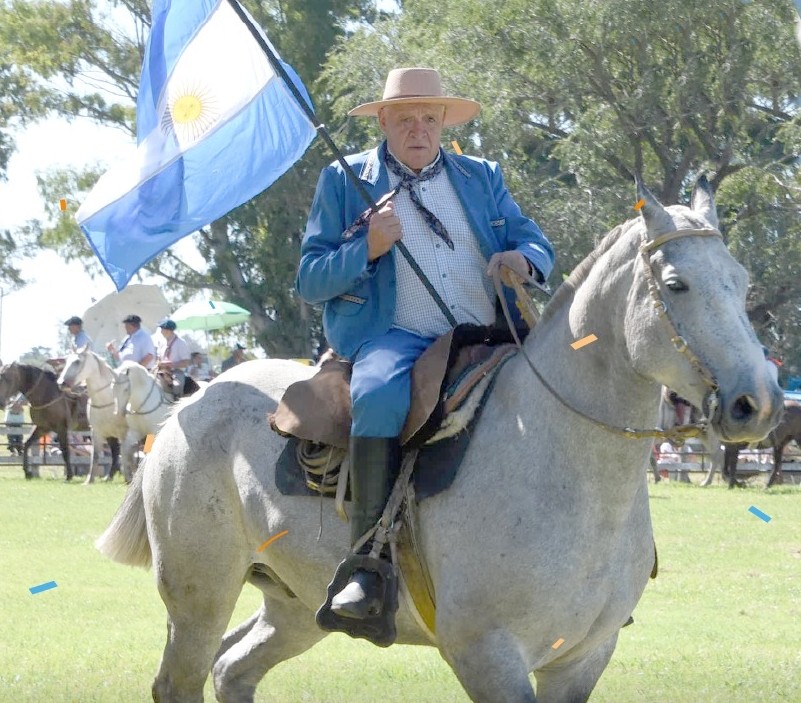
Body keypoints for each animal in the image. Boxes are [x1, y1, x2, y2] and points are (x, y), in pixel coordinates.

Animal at [57, 348, 127, 484]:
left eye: (77, 361)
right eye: (66, 361)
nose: (61, 383)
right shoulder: (96, 431)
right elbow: (95, 455)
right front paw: (89, 480)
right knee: (115, 451)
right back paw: (108, 477)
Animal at [94, 179, 780, 700]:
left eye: (742, 280)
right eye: (677, 284)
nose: (758, 401)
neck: (571, 474)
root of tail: (190, 402)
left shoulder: (583, 657)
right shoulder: (488, 656)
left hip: (295, 605)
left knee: (233, 669)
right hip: (199, 596)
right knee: (180, 680)